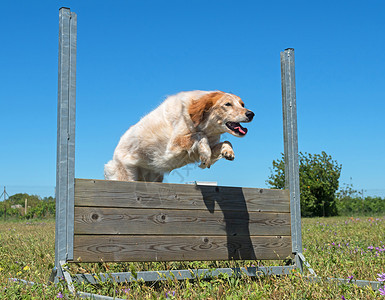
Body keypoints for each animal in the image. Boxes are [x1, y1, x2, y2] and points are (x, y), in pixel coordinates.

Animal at [105, 90, 254, 182]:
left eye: (242, 104)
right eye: (227, 104)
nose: (251, 114)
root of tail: (114, 154)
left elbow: (226, 142)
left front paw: (228, 152)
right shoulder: (173, 146)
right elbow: (199, 135)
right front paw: (205, 154)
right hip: (128, 175)